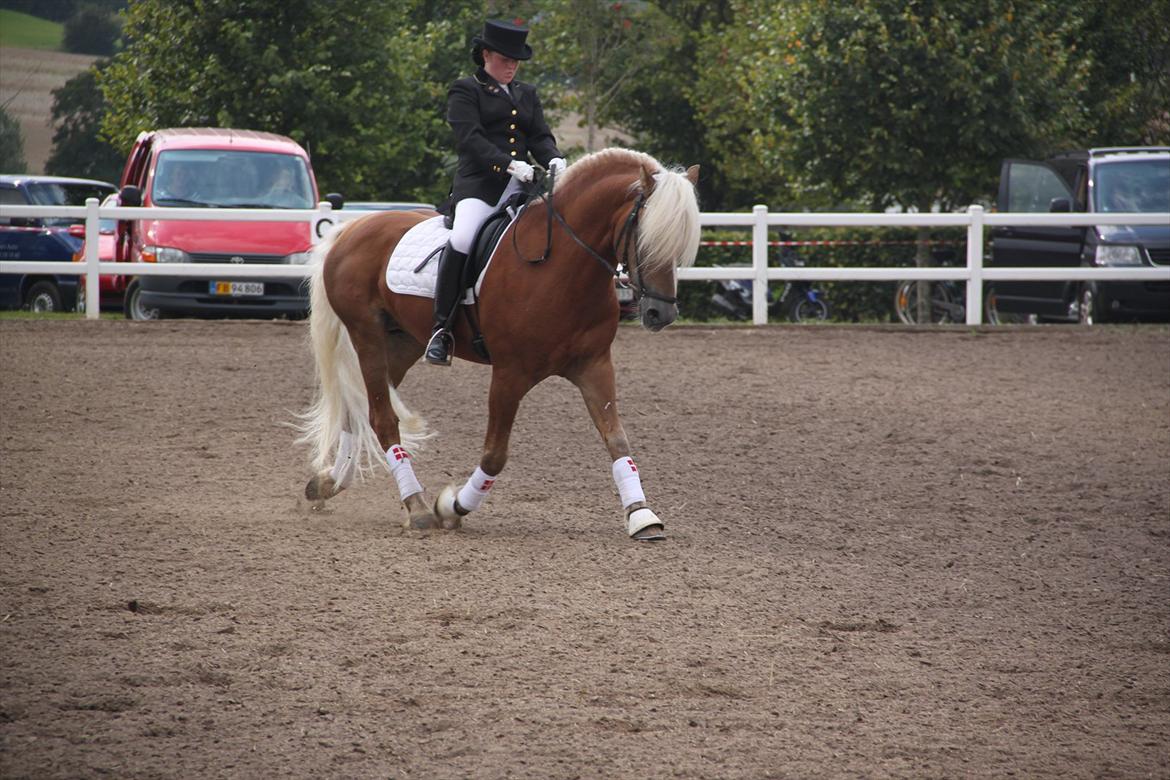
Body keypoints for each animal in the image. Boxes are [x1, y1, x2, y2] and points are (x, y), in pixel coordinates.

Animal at [297, 146, 697, 540]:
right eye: (646, 236)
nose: (662, 314)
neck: (562, 266)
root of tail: (353, 228)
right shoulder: (510, 374)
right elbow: (495, 454)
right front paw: (451, 507)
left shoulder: (594, 366)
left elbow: (617, 439)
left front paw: (642, 515)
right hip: (366, 336)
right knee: (381, 418)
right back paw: (418, 507)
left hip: (402, 344)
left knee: (358, 410)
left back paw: (328, 484)